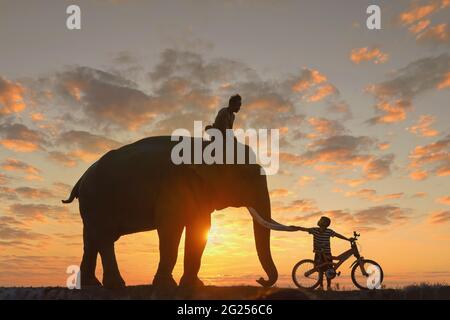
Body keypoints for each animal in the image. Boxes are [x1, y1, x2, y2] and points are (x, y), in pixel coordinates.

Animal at [63, 135, 294, 290]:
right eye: (247, 176)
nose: (261, 280)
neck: (205, 145)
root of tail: (81, 179)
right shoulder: (174, 185)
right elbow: (170, 228)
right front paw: (166, 286)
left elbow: (200, 228)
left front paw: (195, 286)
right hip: (97, 199)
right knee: (104, 238)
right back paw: (116, 285)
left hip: (92, 204)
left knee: (91, 240)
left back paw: (92, 285)